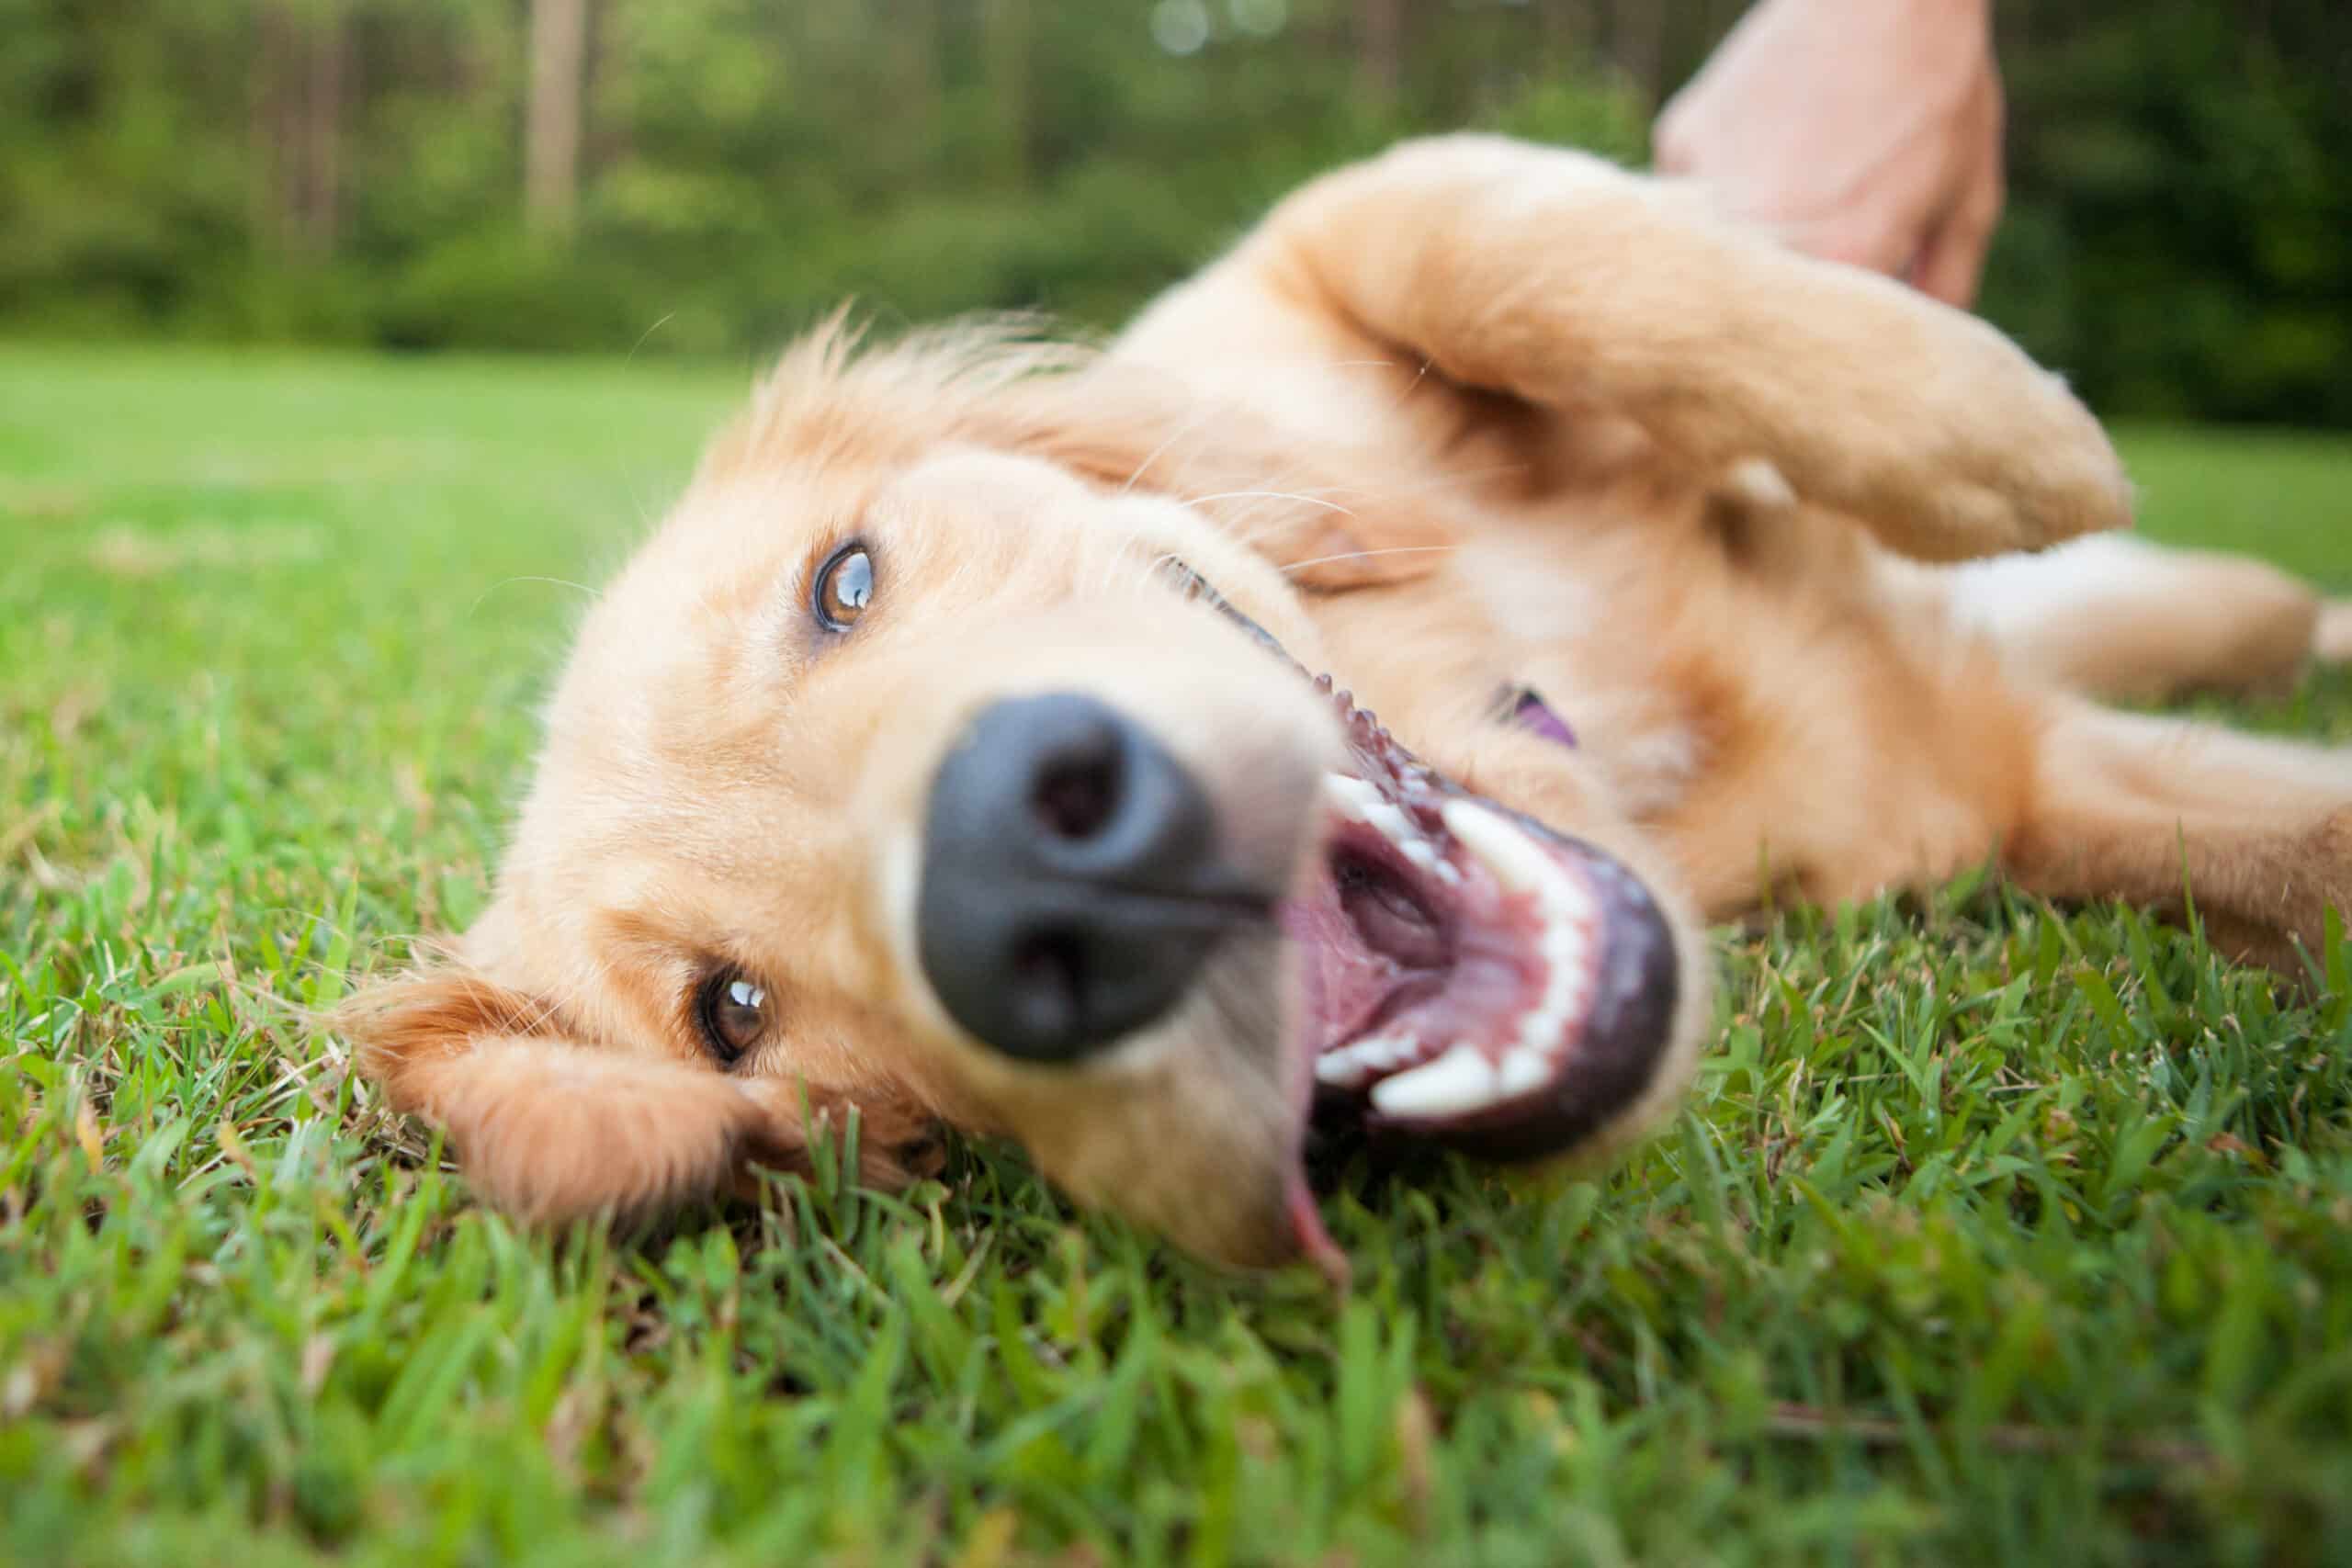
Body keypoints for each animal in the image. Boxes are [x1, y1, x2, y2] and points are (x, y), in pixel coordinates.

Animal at [347, 129, 2352, 1269]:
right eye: (733, 1015)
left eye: (843, 584)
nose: (1032, 871)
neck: (1576, 711)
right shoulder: (2004, 786)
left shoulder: (1310, 256)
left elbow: (1497, 238)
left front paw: (1985, 427)